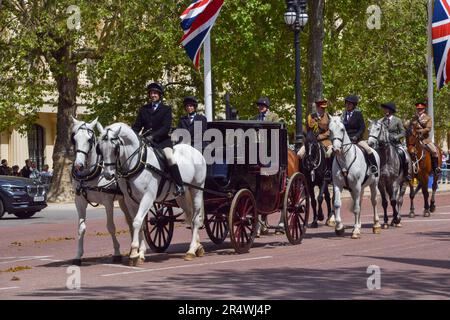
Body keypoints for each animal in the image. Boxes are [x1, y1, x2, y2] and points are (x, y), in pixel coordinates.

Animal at [72, 117, 145, 264]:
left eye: (90, 140)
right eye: (74, 139)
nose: (78, 165)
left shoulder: (108, 201)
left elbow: (111, 226)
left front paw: (117, 253)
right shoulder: (79, 201)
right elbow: (81, 228)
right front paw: (78, 256)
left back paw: (140, 250)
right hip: (125, 201)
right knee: (131, 221)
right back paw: (133, 251)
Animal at [98, 121, 207, 264]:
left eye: (115, 149)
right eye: (100, 148)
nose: (108, 175)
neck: (138, 163)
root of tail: (195, 150)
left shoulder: (148, 198)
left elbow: (137, 222)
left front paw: (134, 252)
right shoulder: (130, 200)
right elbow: (139, 224)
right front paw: (140, 254)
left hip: (197, 190)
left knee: (195, 219)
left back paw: (191, 250)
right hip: (181, 196)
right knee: (189, 216)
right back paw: (197, 247)